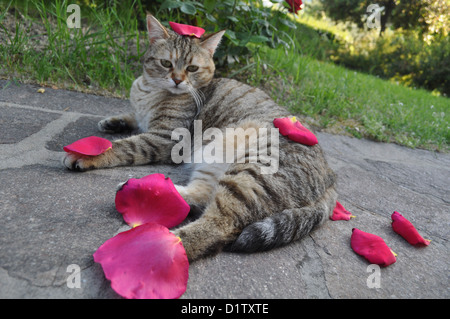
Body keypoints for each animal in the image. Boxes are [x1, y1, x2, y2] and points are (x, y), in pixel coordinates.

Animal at [63, 14, 338, 262]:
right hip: (215, 159)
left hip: (251, 172)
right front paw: (114, 121)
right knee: (201, 195)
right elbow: (132, 117)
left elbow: (125, 146)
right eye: (166, 63)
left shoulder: (165, 137)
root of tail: (330, 179)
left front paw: (87, 154)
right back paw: (144, 191)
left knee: (217, 225)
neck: (148, 89)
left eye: (192, 68)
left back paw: (150, 247)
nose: (177, 80)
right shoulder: (145, 119)